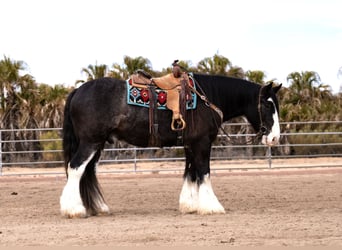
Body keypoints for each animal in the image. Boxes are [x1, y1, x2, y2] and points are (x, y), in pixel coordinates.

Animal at [60, 72, 282, 217]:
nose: (274, 138)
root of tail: (78, 90)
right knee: (76, 169)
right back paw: (74, 209)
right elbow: (204, 172)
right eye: (267, 104)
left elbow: (190, 172)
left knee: (87, 172)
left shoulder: (191, 145)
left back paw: (97, 208)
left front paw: (189, 205)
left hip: (96, 144)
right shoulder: (202, 143)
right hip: (90, 142)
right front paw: (212, 206)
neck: (207, 98)